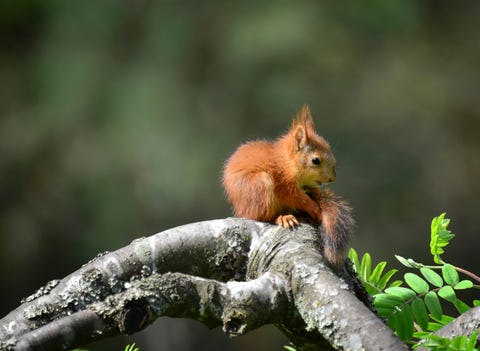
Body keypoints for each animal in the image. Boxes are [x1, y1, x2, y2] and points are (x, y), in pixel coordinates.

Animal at [222, 104, 352, 266]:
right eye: (315, 160)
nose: (332, 178)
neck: (287, 162)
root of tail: (240, 210)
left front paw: (316, 196)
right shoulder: (283, 182)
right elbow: (296, 197)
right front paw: (314, 208)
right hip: (259, 185)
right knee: (262, 216)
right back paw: (282, 218)